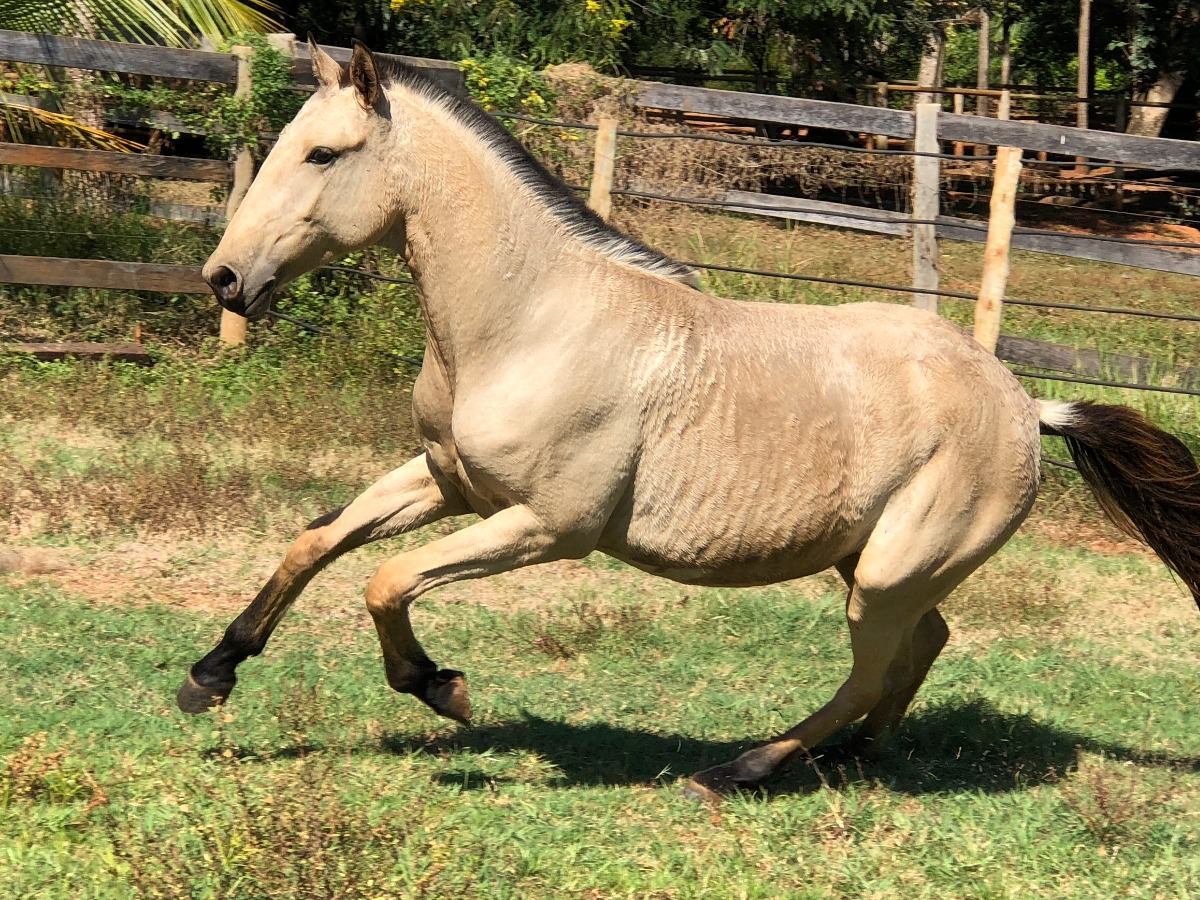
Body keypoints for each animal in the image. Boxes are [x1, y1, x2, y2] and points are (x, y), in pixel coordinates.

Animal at [180, 42, 1200, 801]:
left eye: (323, 155)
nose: (224, 278)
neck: (528, 321)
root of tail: (1028, 405)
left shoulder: (549, 527)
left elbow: (385, 580)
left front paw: (444, 690)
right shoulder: (447, 482)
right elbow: (317, 543)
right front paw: (211, 673)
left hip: (888, 574)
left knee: (875, 669)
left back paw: (739, 769)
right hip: (874, 563)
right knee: (921, 651)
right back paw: (848, 760)